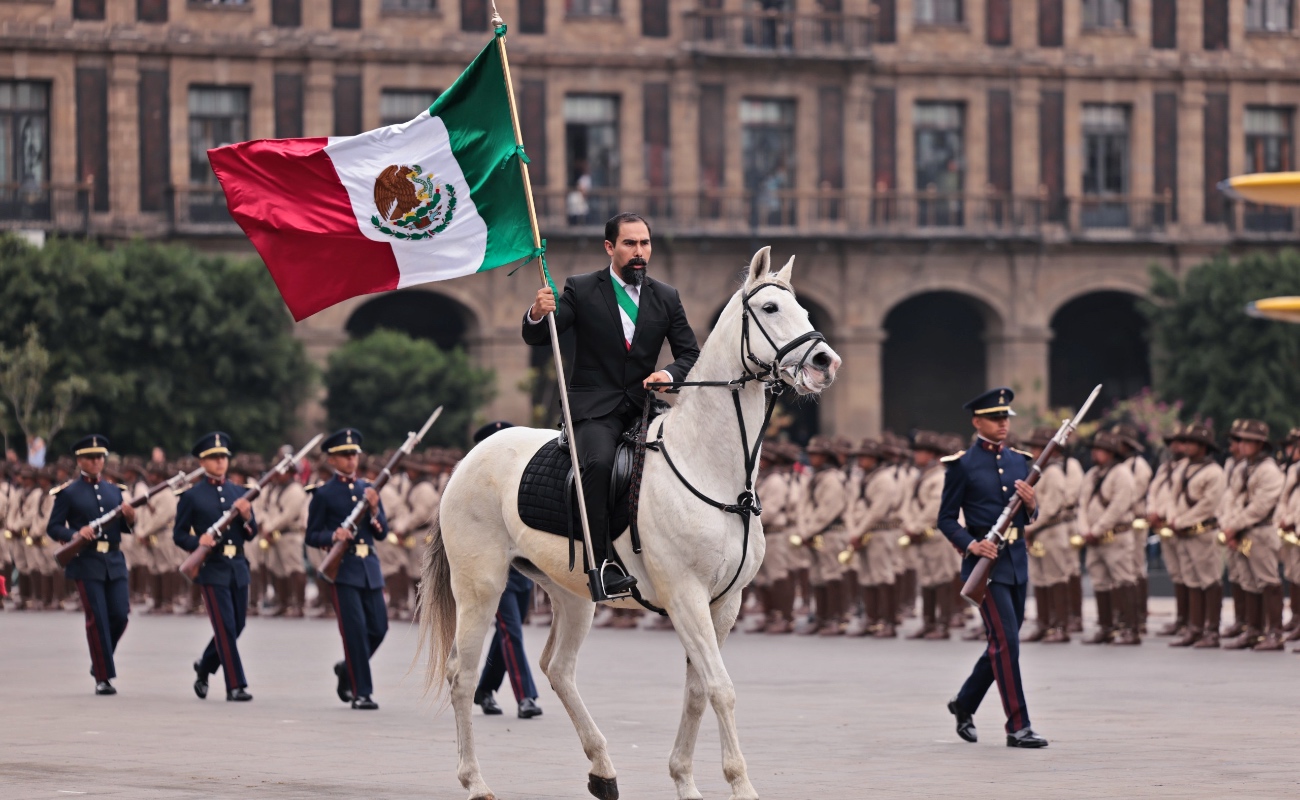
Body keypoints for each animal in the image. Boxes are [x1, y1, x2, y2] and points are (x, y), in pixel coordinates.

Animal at [418, 247, 842, 796]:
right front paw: (740, 785)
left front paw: (685, 780)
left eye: (807, 311)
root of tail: (468, 459)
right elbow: (721, 688)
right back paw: (475, 781)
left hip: (573, 593)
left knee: (558, 668)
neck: (711, 466)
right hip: (480, 586)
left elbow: (698, 690)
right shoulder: (685, 596)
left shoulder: (723, 603)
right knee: (463, 675)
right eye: (770, 308)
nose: (825, 362)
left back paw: (602, 769)